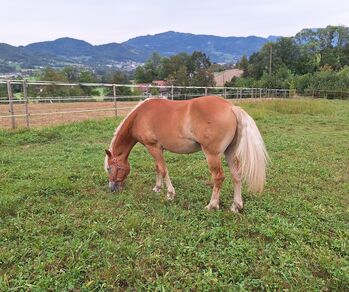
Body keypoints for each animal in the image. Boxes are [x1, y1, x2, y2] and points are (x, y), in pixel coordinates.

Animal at [104, 96, 268, 212]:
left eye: (109, 168)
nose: (111, 188)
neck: (140, 115)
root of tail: (231, 107)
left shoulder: (153, 147)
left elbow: (163, 170)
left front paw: (170, 194)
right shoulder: (157, 149)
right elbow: (158, 168)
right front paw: (157, 188)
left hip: (212, 155)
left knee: (219, 177)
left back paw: (212, 205)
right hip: (230, 153)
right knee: (236, 176)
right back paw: (236, 206)